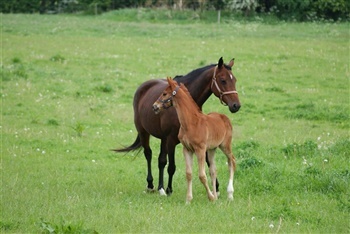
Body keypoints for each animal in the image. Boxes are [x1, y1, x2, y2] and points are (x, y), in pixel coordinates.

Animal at [113, 57, 239, 196]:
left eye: (234, 80)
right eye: (223, 80)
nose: (236, 105)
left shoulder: (200, 139)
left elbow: (208, 162)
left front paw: (216, 188)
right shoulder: (172, 140)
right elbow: (171, 166)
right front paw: (169, 189)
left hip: (163, 139)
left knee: (161, 160)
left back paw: (160, 187)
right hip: (144, 133)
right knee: (149, 155)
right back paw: (152, 185)